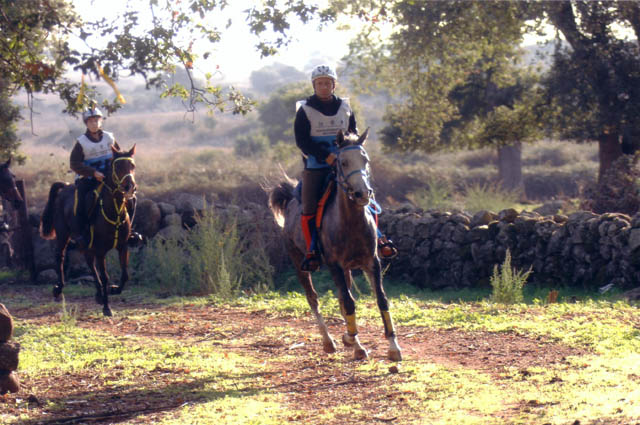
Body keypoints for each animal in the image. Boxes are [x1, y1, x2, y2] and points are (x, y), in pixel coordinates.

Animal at [39, 145, 137, 314]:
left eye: (132, 165)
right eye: (117, 166)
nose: (130, 187)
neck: (114, 210)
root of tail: (65, 187)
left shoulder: (123, 246)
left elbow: (125, 275)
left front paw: (113, 290)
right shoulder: (100, 250)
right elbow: (105, 277)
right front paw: (107, 307)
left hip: (86, 245)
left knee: (89, 263)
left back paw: (98, 294)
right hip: (63, 234)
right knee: (60, 256)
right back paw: (58, 288)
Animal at [268, 130, 400, 362]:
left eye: (365, 160)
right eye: (343, 162)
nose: (363, 194)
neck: (350, 222)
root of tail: (290, 198)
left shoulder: (371, 262)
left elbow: (380, 300)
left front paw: (393, 347)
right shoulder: (334, 265)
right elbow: (348, 302)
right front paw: (355, 344)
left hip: (346, 269)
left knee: (342, 296)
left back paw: (349, 339)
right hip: (299, 262)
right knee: (313, 298)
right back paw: (329, 341)